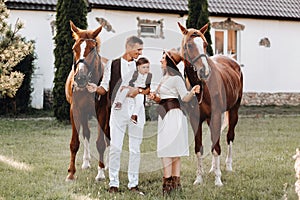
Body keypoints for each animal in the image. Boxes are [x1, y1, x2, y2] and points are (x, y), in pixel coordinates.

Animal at [65, 20, 109, 181]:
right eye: (74, 48)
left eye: (92, 49)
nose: (80, 78)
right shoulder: (75, 110)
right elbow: (75, 142)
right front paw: (71, 173)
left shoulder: (102, 112)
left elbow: (101, 143)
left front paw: (101, 173)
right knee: (86, 134)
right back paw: (86, 162)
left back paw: (107, 165)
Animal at [178, 22, 244, 186]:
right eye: (189, 45)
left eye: (205, 44)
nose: (204, 71)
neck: (202, 86)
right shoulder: (195, 119)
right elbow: (199, 148)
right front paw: (199, 179)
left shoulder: (216, 116)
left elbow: (217, 148)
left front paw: (218, 180)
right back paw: (213, 168)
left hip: (233, 111)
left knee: (229, 137)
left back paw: (228, 166)